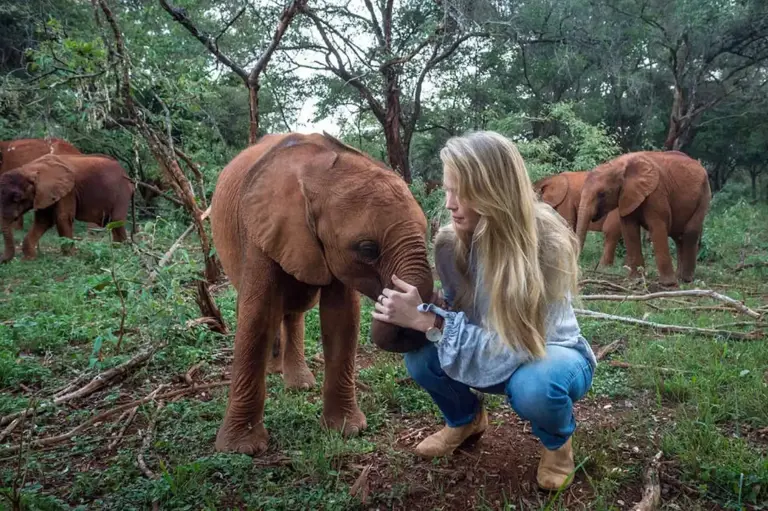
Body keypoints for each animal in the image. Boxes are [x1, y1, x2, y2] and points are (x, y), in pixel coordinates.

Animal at [0, 153, 134, 262]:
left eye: (17, 198)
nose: (3, 260)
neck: (30, 169)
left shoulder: (69, 191)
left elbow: (62, 218)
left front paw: (69, 258)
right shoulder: (45, 194)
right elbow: (43, 221)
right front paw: (29, 259)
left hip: (122, 192)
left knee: (117, 220)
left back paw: (122, 251)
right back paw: (117, 249)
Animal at [210, 132, 433, 455]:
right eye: (368, 249)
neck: (314, 171)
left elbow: (342, 317)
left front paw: (347, 431)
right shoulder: (258, 231)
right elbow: (256, 315)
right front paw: (241, 449)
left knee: (292, 310)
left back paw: (298, 384)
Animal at [575, 151, 711, 287]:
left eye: (602, 194)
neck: (620, 164)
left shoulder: (656, 193)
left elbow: (657, 228)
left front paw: (668, 284)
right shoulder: (627, 196)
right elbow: (629, 230)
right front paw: (635, 281)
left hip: (704, 195)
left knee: (690, 233)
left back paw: (685, 280)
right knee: (678, 237)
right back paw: (680, 277)